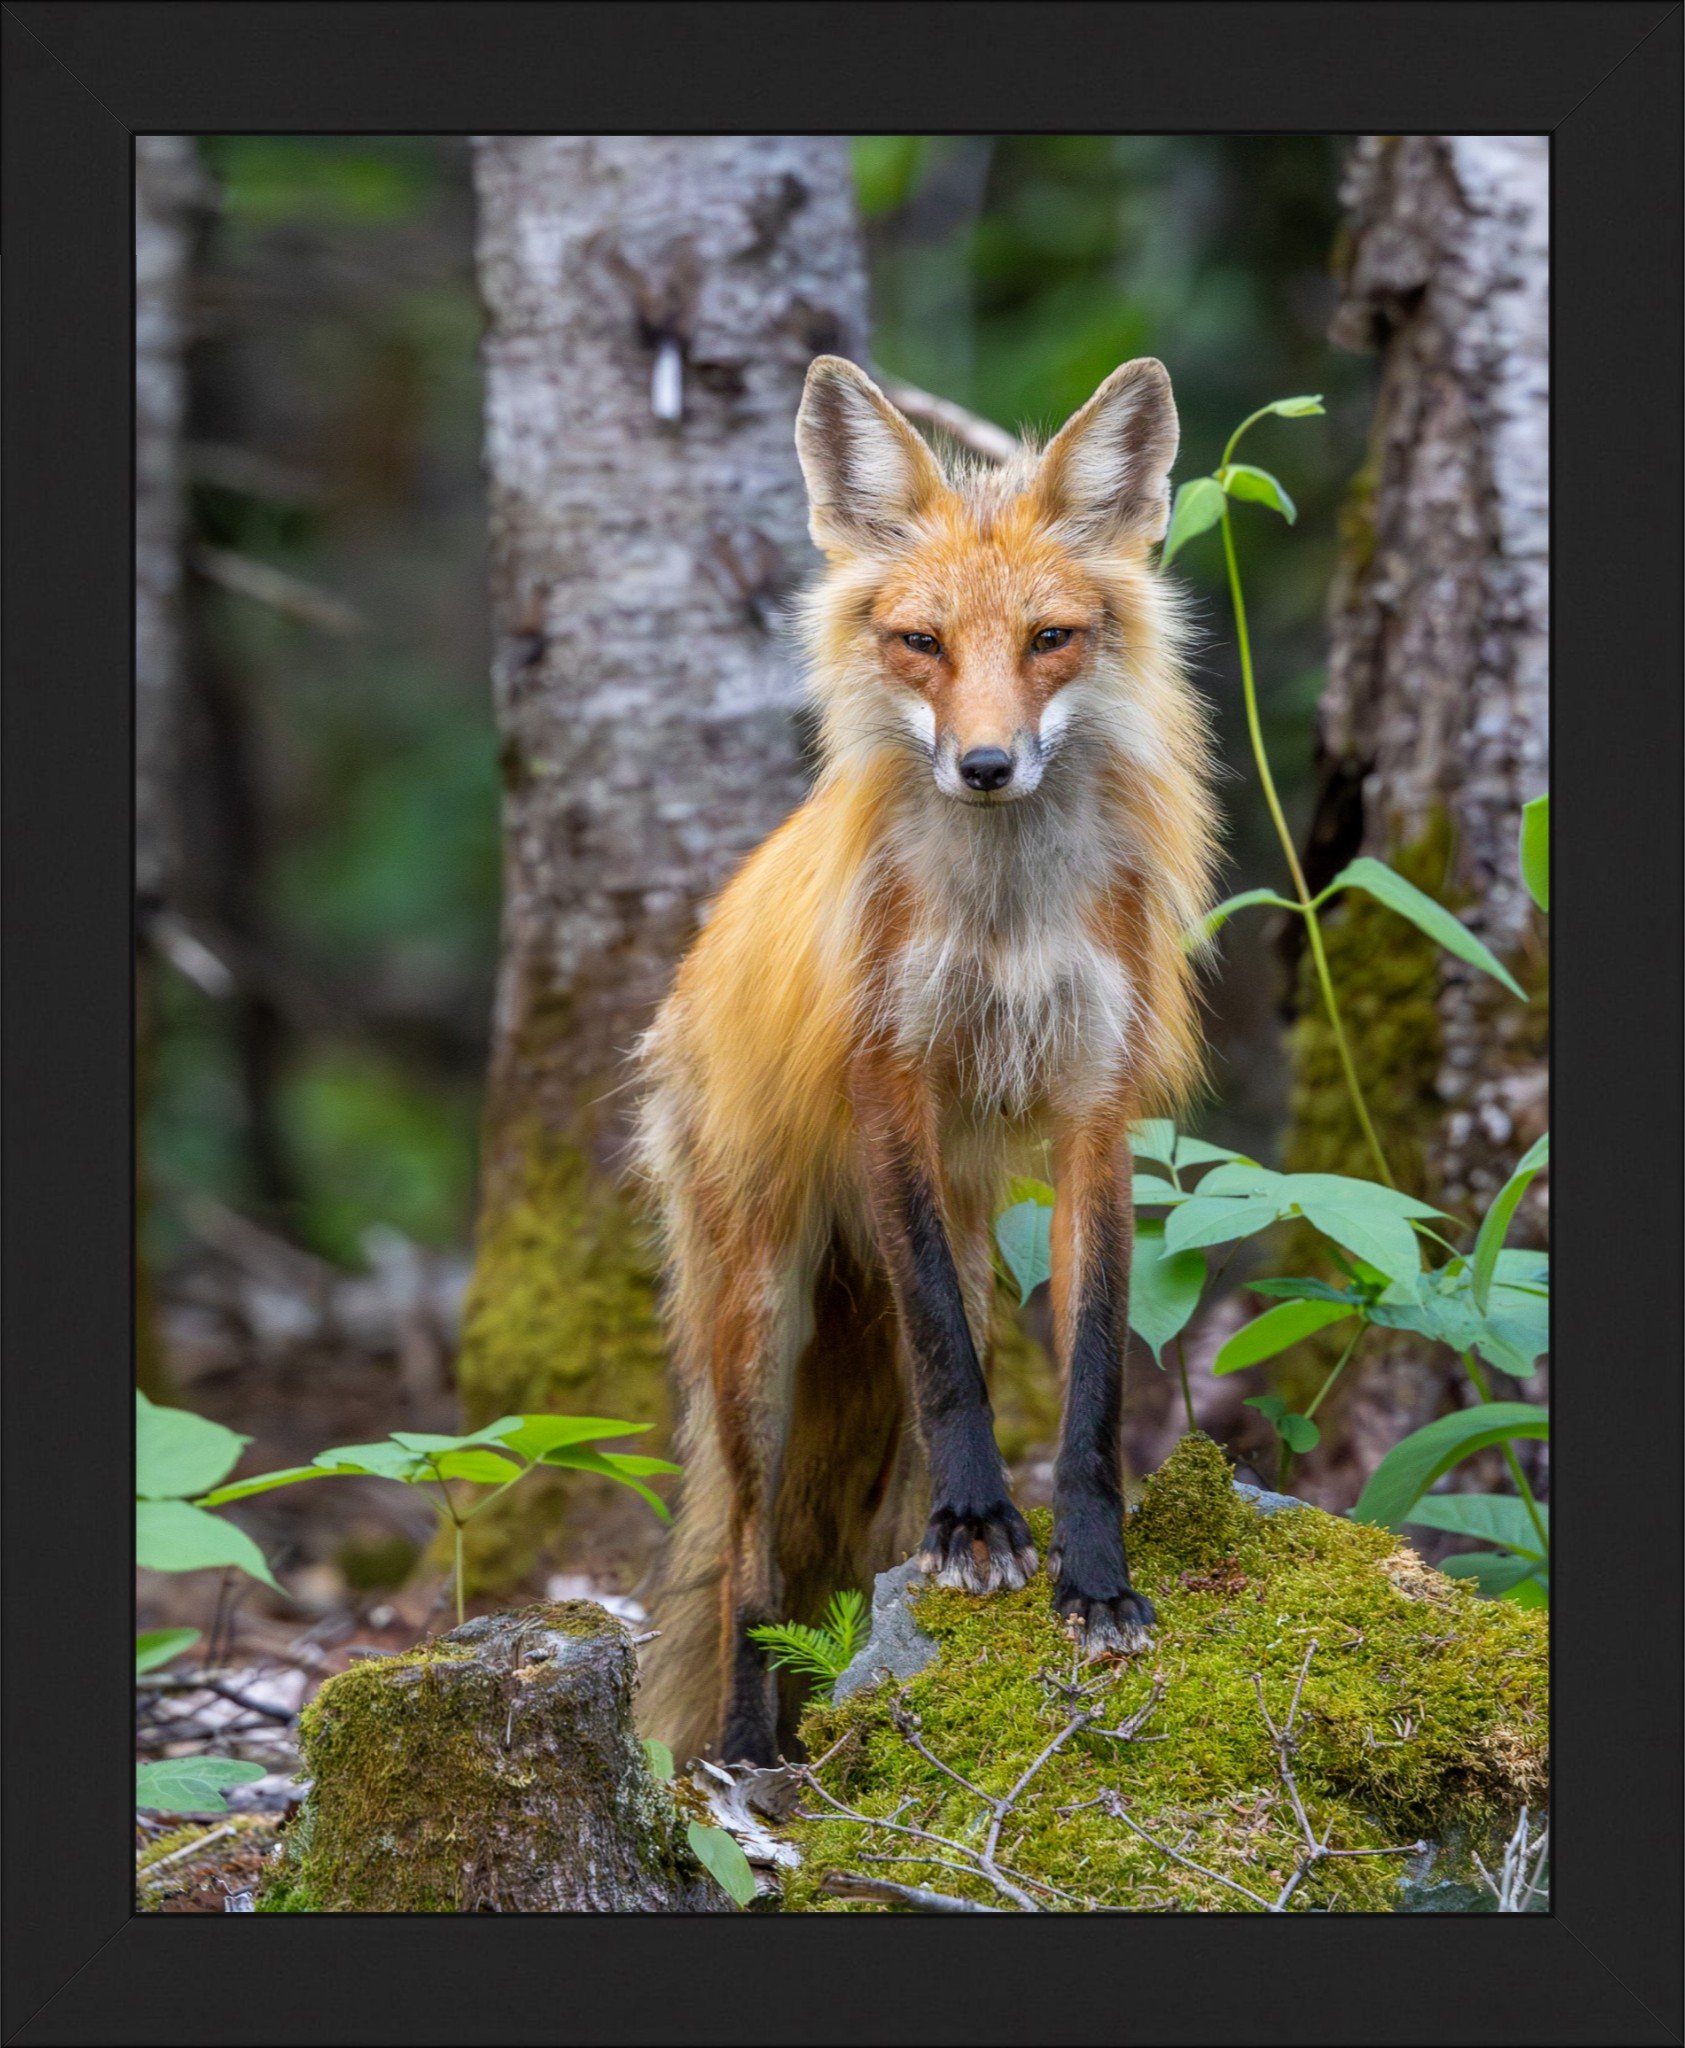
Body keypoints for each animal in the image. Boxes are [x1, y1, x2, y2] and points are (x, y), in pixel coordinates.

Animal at [633, 354, 1219, 1767]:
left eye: (1048, 639)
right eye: (921, 643)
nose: (986, 765)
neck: (1002, 920)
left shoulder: (1092, 1104)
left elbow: (1094, 1383)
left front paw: (1092, 1578)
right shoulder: (887, 1079)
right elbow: (950, 1360)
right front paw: (979, 1529)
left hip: (939, 1252)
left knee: (870, 1515)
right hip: (758, 1326)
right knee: (748, 1561)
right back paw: (750, 1754)